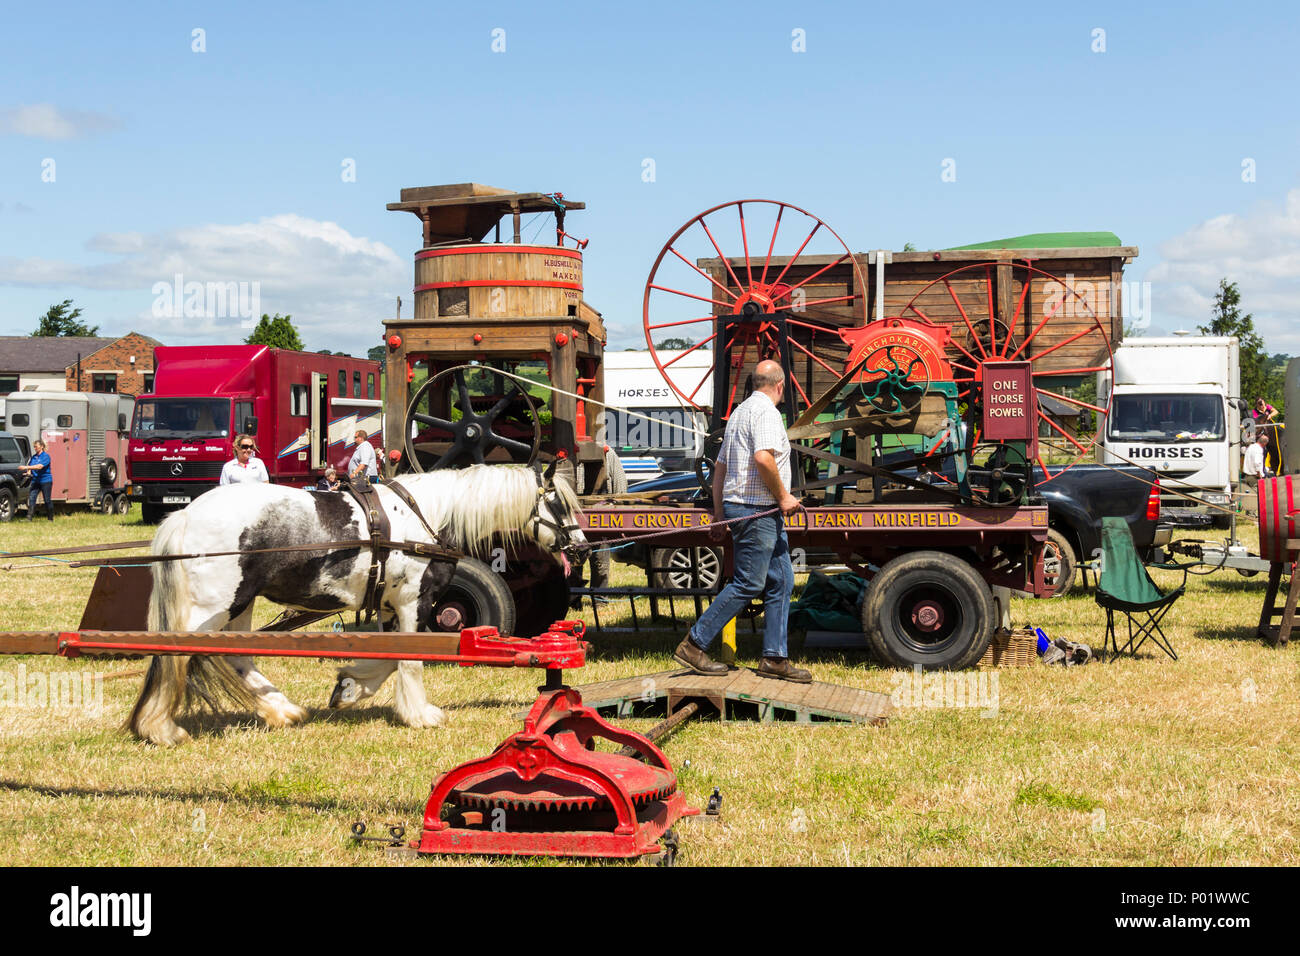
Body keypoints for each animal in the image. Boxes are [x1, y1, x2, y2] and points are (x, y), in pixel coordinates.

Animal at [126, 463, 585, 749]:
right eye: (559, 504)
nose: (580, 548)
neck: (423, 517)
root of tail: (184, 517)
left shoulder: (389, 605)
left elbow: (388, 659)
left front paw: (349, 688)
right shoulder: (414, 600)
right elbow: (410, 661)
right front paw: (419, 714)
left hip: (239, 605)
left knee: (234, 655)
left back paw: (281, 710)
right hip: (216, 604)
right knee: (179, 654)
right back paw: (161, 728)